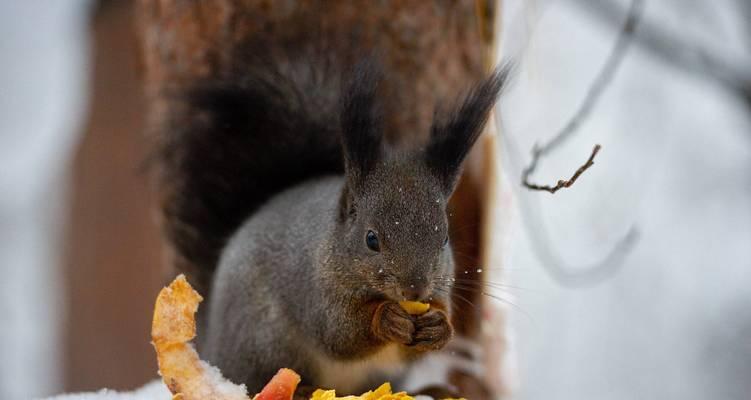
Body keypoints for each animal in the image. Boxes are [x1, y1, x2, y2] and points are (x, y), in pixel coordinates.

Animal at [152, 25, 506, 396]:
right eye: (371, 239)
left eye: (444, 237)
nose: (415, 291)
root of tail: (215, 346)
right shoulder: (314, 288)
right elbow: (338, 333)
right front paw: (385, 318)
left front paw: (440, 325)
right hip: (264, 340)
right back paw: (302, 389)